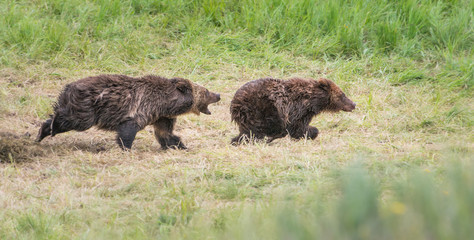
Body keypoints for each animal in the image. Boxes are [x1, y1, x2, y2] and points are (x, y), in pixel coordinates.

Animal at [36, 75, 220, 150]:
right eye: (206, 91)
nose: (218, 95)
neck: (165, 103)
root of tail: (68, 87)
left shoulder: (161, 117)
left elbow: (166, 134)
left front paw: (181, 146)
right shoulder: (140, 111)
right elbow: (127, 132)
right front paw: (126, 148)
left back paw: (42, 132)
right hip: (86, 109)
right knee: (70, 120)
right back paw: (48, 129)